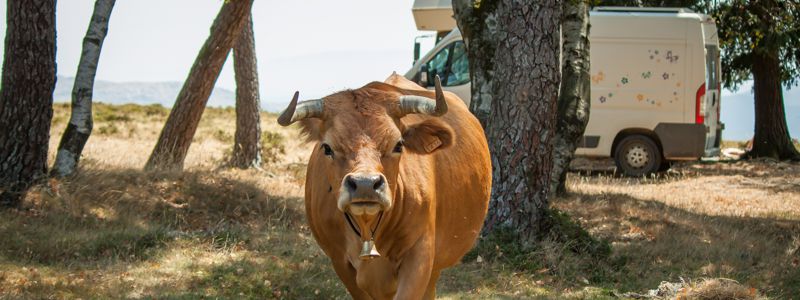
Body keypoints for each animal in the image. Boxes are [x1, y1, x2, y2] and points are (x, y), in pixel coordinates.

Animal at [278, 74, 490, 298]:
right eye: (327, 148)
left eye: (399, 145)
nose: (365, 184)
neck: (367, 229)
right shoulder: (340, 262)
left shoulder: (420, 255)